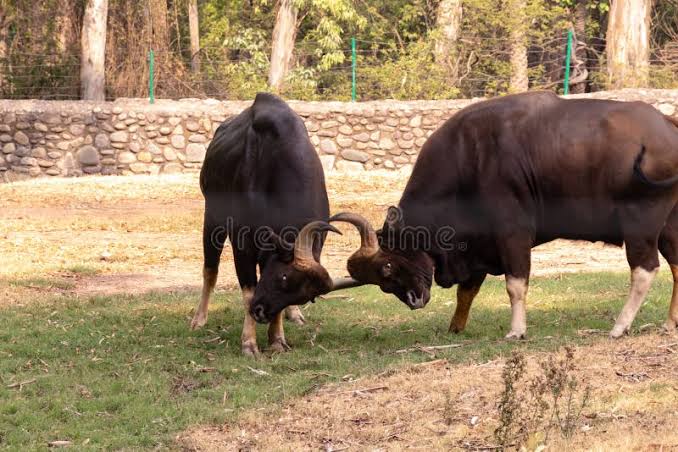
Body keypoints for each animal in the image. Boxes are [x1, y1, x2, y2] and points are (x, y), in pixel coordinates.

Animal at [191, 92, 357, 356]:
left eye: (302, 296)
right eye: (283, 277)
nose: (261, 313)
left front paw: (277, 338)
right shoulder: (243, 243)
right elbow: (247, 291)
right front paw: (249, 343)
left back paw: (293, 317)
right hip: (212, 218)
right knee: (210, 270)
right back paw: (199, 319)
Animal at [329, 91, 678, 339]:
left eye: (387, 266)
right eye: (381, 282)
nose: (414, 299)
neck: (467, 160)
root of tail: (667, 125)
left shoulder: (512, 235)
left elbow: (515, 284)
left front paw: (517, 330)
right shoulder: (476, 246)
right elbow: (467, 290)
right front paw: (455, 327)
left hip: (640, 226)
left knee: (645, 270)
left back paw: (620, 326)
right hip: (669, 226)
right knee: (676, 265)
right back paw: (670, 322)